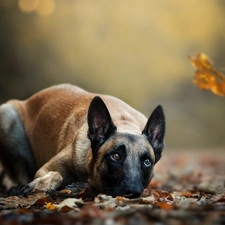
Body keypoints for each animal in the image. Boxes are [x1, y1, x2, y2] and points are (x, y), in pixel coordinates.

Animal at [0, 84, 165, 197]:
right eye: (116, 156)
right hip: (7, 116)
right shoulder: (43, 170)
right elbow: (57, 174)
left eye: (147, 162)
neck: (125, 122)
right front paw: (39, 186)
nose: (133, 191)